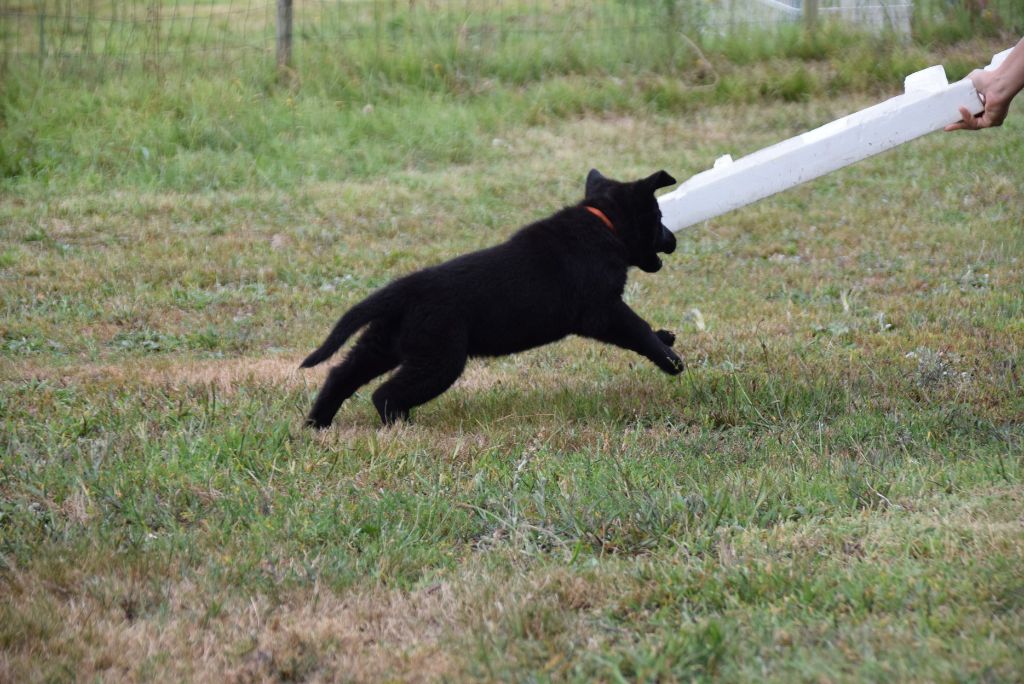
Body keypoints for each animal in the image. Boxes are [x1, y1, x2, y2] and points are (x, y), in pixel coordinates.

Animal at [301, 168, 683, 427]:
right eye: (659, 217)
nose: (674, 239)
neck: (604, 224)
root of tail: (406, 288)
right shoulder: (603, 310)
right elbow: (637, 328)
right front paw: (670, 359)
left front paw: (666, 337)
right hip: (440, 359)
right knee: (384, 394)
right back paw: (402, 428)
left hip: (385, 344)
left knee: (340, 374)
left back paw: (317, 424)